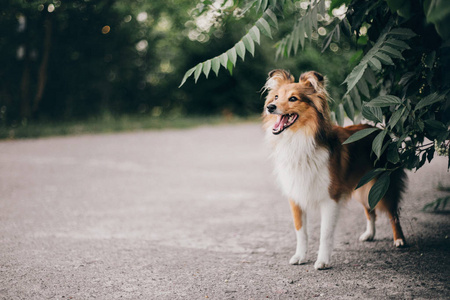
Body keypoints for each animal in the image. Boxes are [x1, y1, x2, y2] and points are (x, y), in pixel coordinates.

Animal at [262, 69, 406, 270]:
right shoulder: (296, 196)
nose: (270, 107)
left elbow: (325, 234)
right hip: (364, 189)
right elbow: (301, 232)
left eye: (293, 98)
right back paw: (369, 234)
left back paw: (399, 239)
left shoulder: (330, 199)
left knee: (393, 213)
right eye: (275, 96)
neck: (300, 140)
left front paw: (322, 261)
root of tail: (379, 130)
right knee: (370, 210)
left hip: (384, 186)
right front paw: (300, 256)